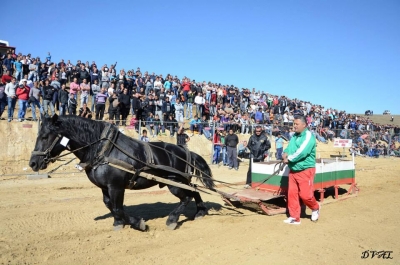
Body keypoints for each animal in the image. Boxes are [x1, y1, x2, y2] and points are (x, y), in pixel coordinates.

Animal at [28, 114, 216, 230]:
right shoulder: (105, 187)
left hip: (175, 183)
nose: (33, 163)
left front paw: (138, 223)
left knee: (186, 197)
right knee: (194, 191)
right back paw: (200, 212)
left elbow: (118, 207)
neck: (103, 149)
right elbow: (110, 205)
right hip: (182, 181)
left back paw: (172, 219)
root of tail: (184, 151)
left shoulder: (116, 186)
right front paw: (119, 223)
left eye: (45, 136)